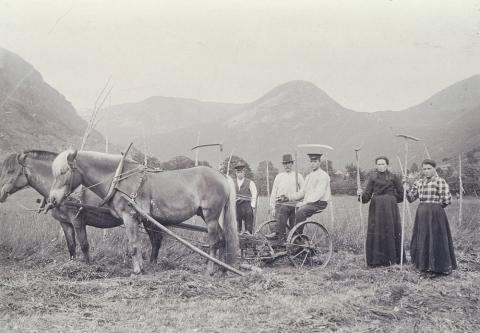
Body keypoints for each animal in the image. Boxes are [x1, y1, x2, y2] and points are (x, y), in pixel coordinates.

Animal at [0, 150, 163, 262]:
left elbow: (84, 245)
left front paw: (88, 265)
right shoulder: (65, 223)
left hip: (148, 220)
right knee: (156, 240)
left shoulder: (77, 220)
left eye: (11, 171)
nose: (1, 194)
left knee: (156, 240)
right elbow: (71, 246)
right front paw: (73, 263)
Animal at [47, 149, 237, 274]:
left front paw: (137, 270)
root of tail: (221, 176)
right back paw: (222, 269)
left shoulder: (129, 216)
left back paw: (211, 270)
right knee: (222, 238)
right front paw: (142, 267)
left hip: (210, 216)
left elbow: (132, 245)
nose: (52, 200)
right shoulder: (137, 219)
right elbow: (137, 244)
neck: (119, 180)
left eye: (63, 171)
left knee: (214, 242)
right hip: (208, 216)